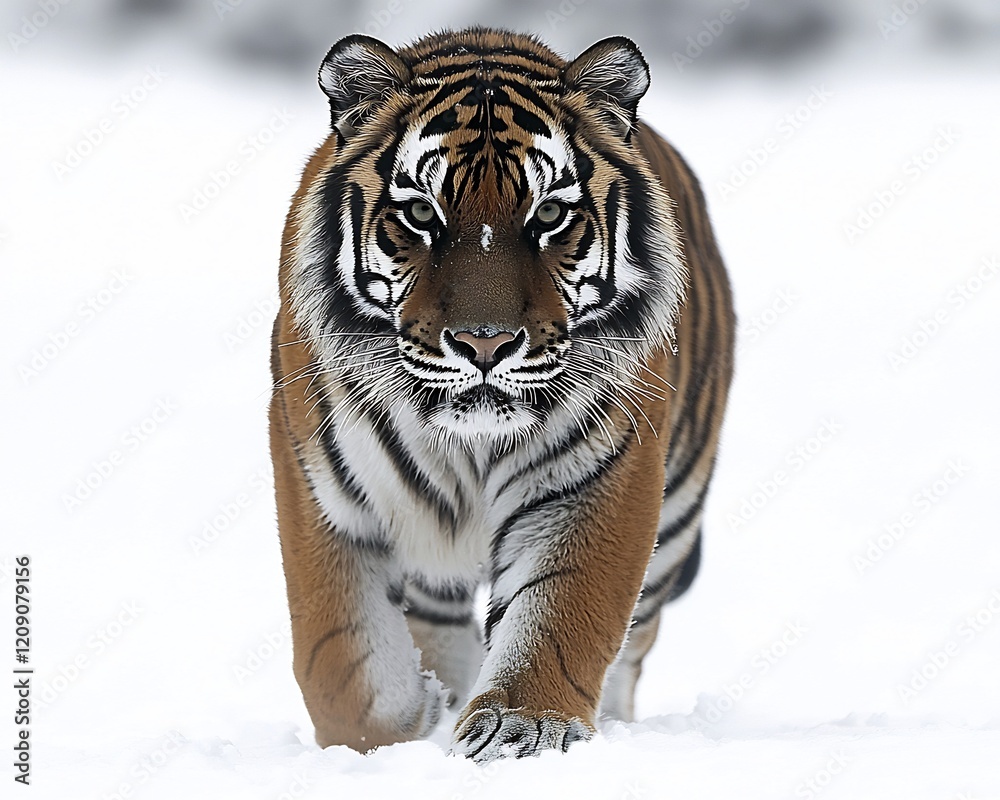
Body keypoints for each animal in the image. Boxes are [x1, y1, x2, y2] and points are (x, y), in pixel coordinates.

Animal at [269, 27, 734, 762]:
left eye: (548, 214)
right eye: (420, 213)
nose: (484, 344)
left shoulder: (599, 479)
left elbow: (561, 618)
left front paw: (523, 731)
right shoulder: (320, 484)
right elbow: (342, 661)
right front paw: (403, 724)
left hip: (679, 514)